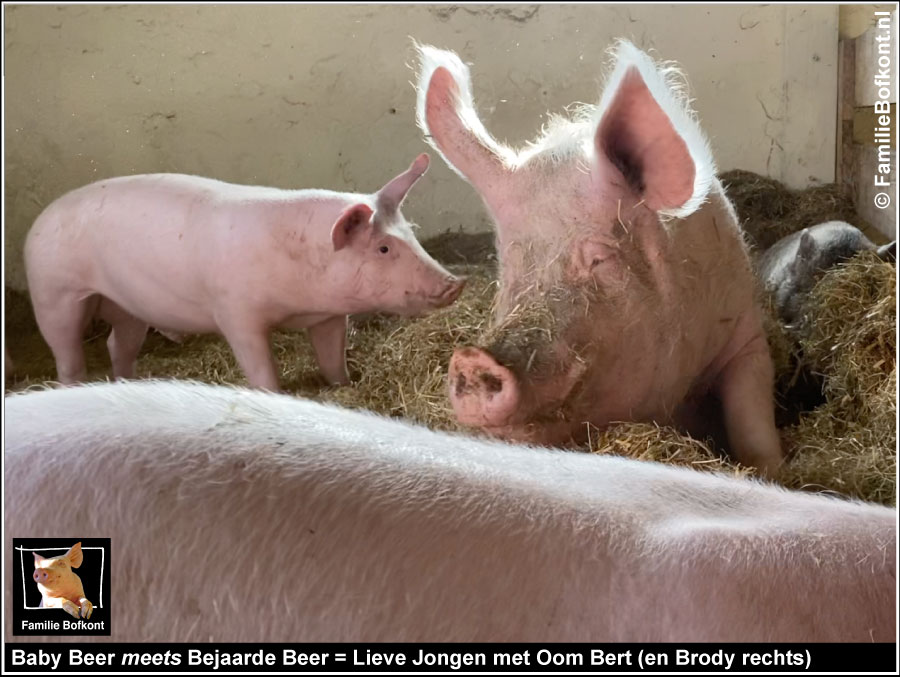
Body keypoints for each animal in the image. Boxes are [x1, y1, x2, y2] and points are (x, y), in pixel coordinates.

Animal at [22, 151, 464, 388]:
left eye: (412, 233)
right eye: (383, 248)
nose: (454, 284)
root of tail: (39, 222)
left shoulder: (329, 316)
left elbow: (331, 357)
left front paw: (344, 385)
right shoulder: (236, 312)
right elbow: (260, 366)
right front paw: (276, 393)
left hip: (129, 304)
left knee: (119, 344)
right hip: (54, 293)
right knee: (68, 353)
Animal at [418, 42, 784, 476]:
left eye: (598, 259)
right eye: (508, 264)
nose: (475, 360)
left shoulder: (744, 326)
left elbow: (752, 417)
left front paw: (773, 471)